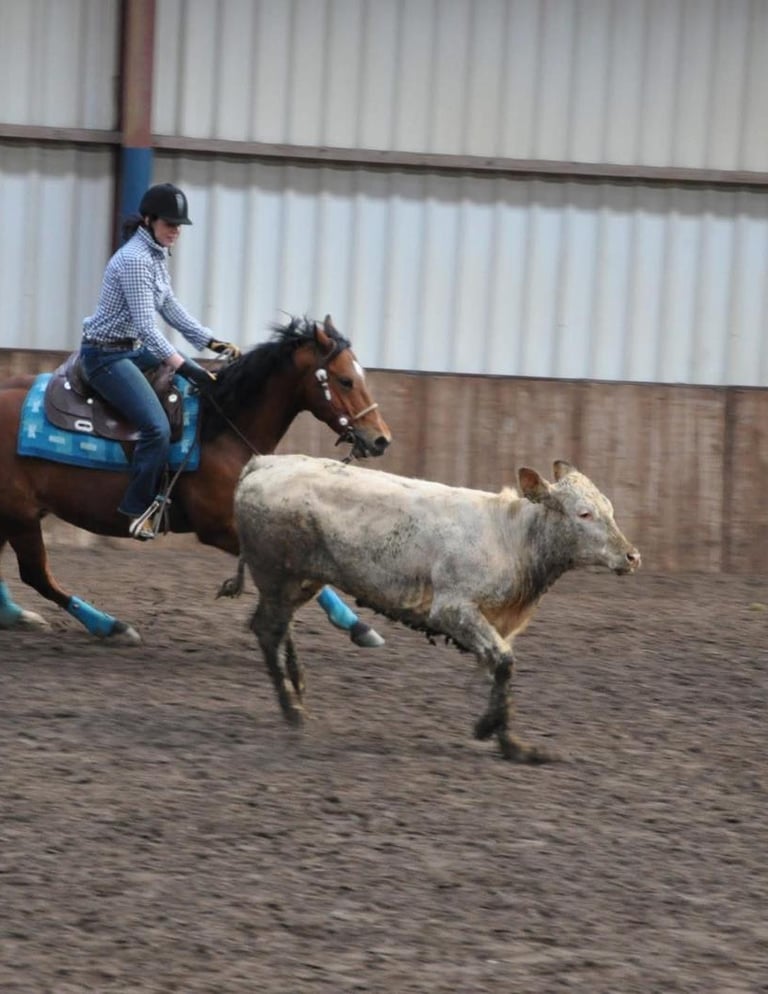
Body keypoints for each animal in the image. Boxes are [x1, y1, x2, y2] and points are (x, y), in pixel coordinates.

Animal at [0, 315, 392, 645]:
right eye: (345, 380)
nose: (381, 439)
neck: (220, 429)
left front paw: (358, 625)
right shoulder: (217, 527)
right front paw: (358, 626)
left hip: (13, 516)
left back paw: (18, 615)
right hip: (20, 515)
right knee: (37, 575)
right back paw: (111, 626)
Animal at [217, 454, 641, 762]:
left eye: (609, 508)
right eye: (584, 513)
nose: (632, 556)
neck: (512, 537)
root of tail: (263, 463)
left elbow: (498, 668)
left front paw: (507, 739)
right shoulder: (453, 609)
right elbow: (504, 662)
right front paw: (498, 735)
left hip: (302, 579)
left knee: (278, 626)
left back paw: (298, 688)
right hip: (276, 573)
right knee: (267, 629)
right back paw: (292, 710)